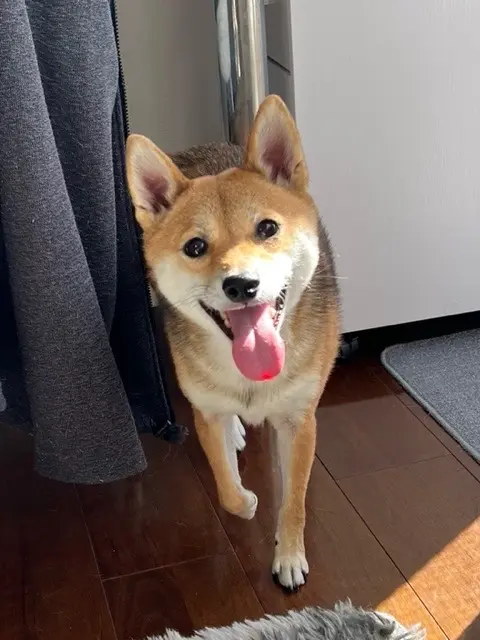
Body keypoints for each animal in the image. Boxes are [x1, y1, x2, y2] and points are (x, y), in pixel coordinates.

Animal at [126, 95, 340, 591]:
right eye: (195, 247)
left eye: (267, 228)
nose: (241, 285)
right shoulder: (207, 413)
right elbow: (226, 490)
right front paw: (247, 499)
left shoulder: (301, 421)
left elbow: (294, 501)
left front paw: (289, 555)